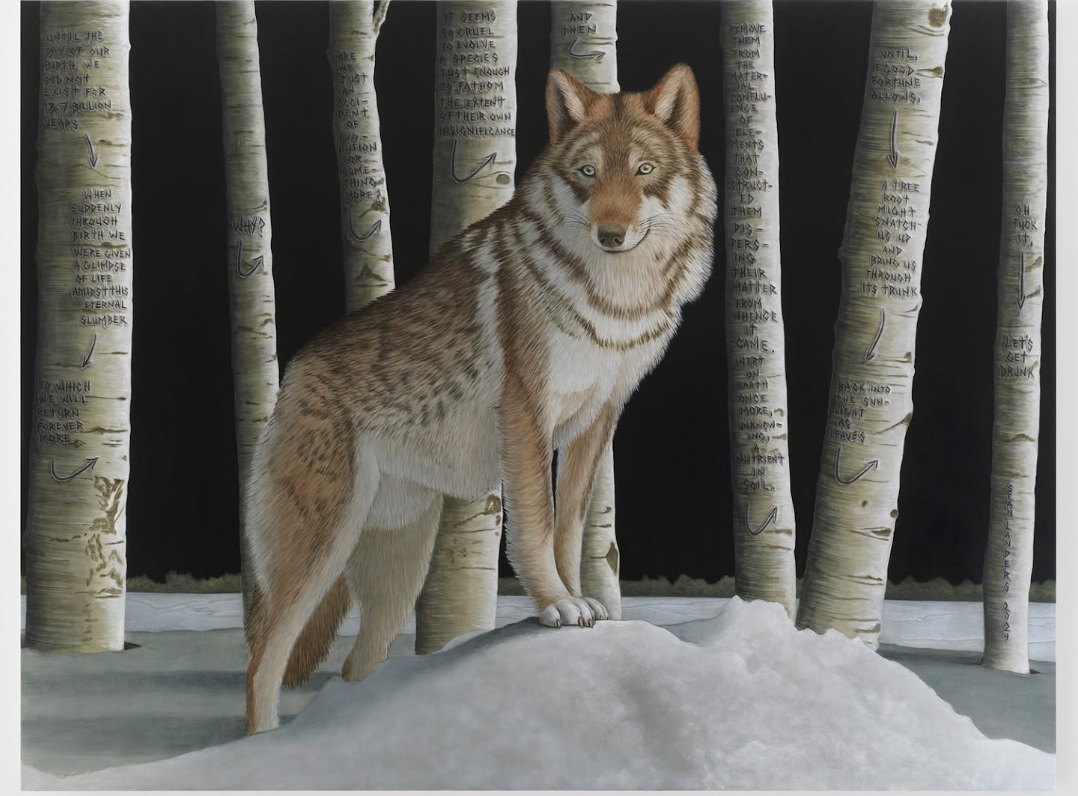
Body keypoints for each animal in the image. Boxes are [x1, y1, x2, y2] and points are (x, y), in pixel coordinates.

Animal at [244, 63, 717, 733]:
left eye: (644, 170)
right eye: (587, 172)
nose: (611, 233)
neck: (615, 299)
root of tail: (296, 372)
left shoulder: (595, 420)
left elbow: (569, 527)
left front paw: (580, 598)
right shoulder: (526, 412)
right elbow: (537, 525)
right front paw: (556, 604)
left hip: (396, 578)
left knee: (354, 668)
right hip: (317, 557)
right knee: (263, 665)